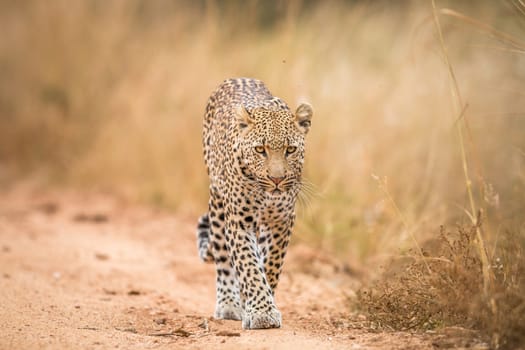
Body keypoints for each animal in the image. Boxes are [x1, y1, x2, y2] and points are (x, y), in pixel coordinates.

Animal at [195, 78, 312, 330]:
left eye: (290, 149)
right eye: (260, 149)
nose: (277, 179)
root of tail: (236, 78)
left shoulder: (282, 221)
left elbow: (270, 265)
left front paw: (260, 306)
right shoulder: (239, 222)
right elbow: (249, 265)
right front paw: (261, 311)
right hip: (218, 207)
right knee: (223, 259)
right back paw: (229, 304)